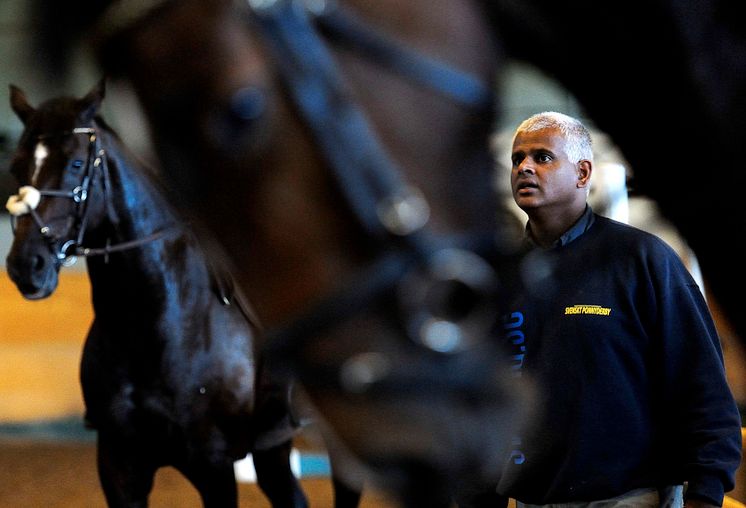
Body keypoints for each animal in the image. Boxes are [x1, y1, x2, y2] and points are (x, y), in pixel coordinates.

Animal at [4, 81, 310, 506]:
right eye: (17, 168)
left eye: (76, 165)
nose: (25, 265)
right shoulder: (119, 464)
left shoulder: (214, 466)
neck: (152, 328)